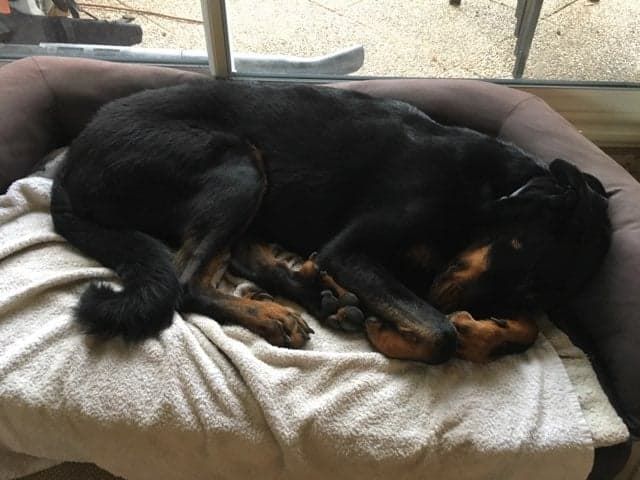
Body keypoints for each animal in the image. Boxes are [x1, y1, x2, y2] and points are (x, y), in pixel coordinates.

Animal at [50, 80, 611, 364]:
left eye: (535, 290)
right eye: (525, 263)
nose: (444, 297)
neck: (487, 193)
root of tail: (69, 166)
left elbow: (526, 329)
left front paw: (481, 332)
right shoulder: (352, 251)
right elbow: (439, 332)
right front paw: (400, 334)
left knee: (240, 258)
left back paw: (320, 294)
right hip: (238, 166)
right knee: (188, 282)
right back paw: (280, 312)